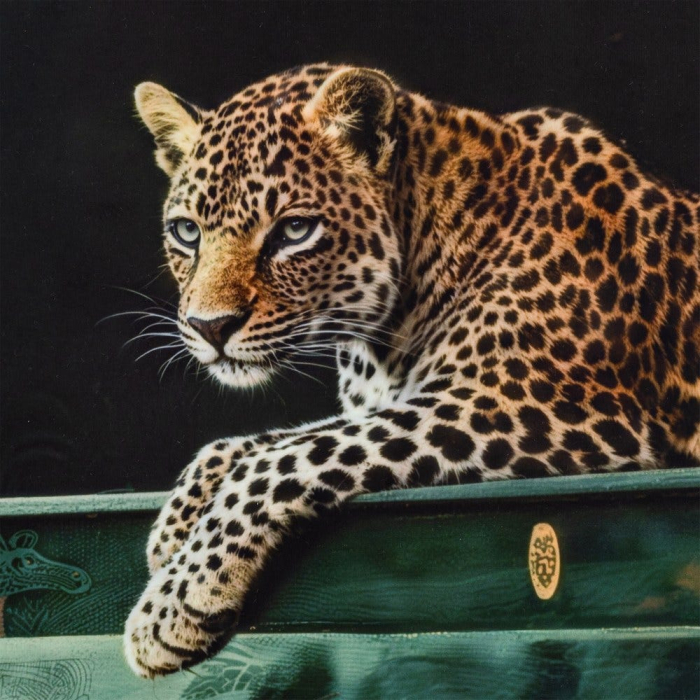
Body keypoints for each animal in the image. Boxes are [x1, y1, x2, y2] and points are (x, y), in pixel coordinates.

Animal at [124, 63, 700, 677]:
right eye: (187, 232)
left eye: (294, 231)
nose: (209, 327)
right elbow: (269, 439)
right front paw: (175, 523)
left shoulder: (535, 407)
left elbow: (289, 456)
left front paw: (173, 603)